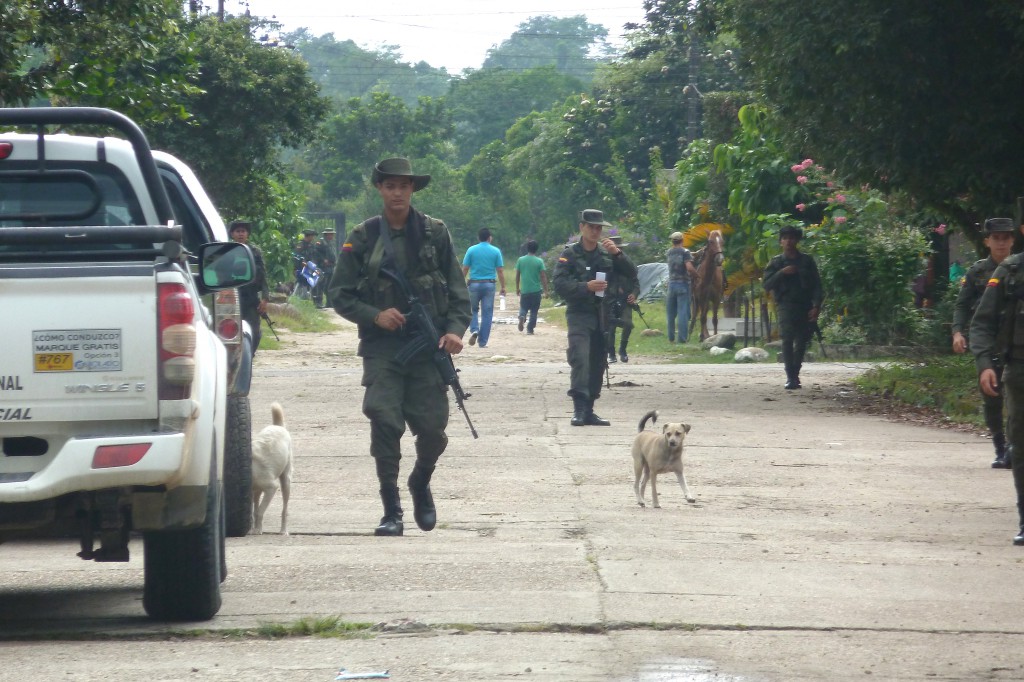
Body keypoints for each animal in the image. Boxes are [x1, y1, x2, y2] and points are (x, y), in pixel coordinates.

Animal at [250, 401, 292, 532]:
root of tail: (278, 426)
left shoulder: (271, 488)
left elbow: (260, 511)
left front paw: (258, 530)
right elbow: (255, 510)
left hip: (286, 481)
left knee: (284, 509)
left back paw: (283, 530)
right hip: (257, 491)